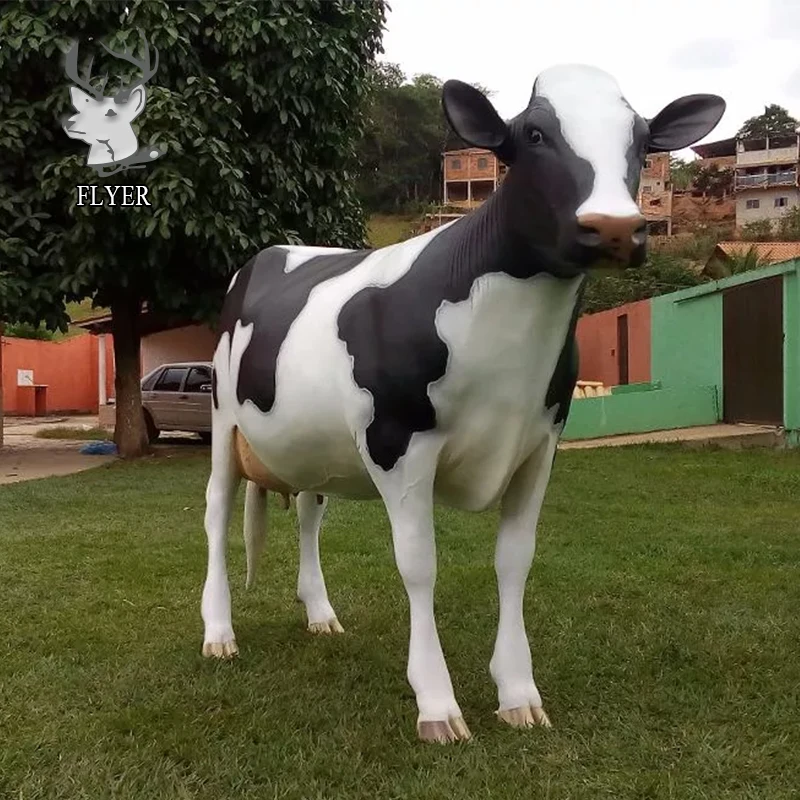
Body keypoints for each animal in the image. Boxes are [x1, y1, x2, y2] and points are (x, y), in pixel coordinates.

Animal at [201, 64, 725, 743]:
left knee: (310, 514)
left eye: (642, 140)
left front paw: (519, 693)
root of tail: (278, 251)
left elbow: (515, 561)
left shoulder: (540, 443)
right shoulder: (399, 442)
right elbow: (419, 565)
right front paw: (437, 704)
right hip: (221, 420)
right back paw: (218, 632)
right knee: (215, 514)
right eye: (533, 135)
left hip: (313, 446)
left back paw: (320, 614)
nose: (614, 226)